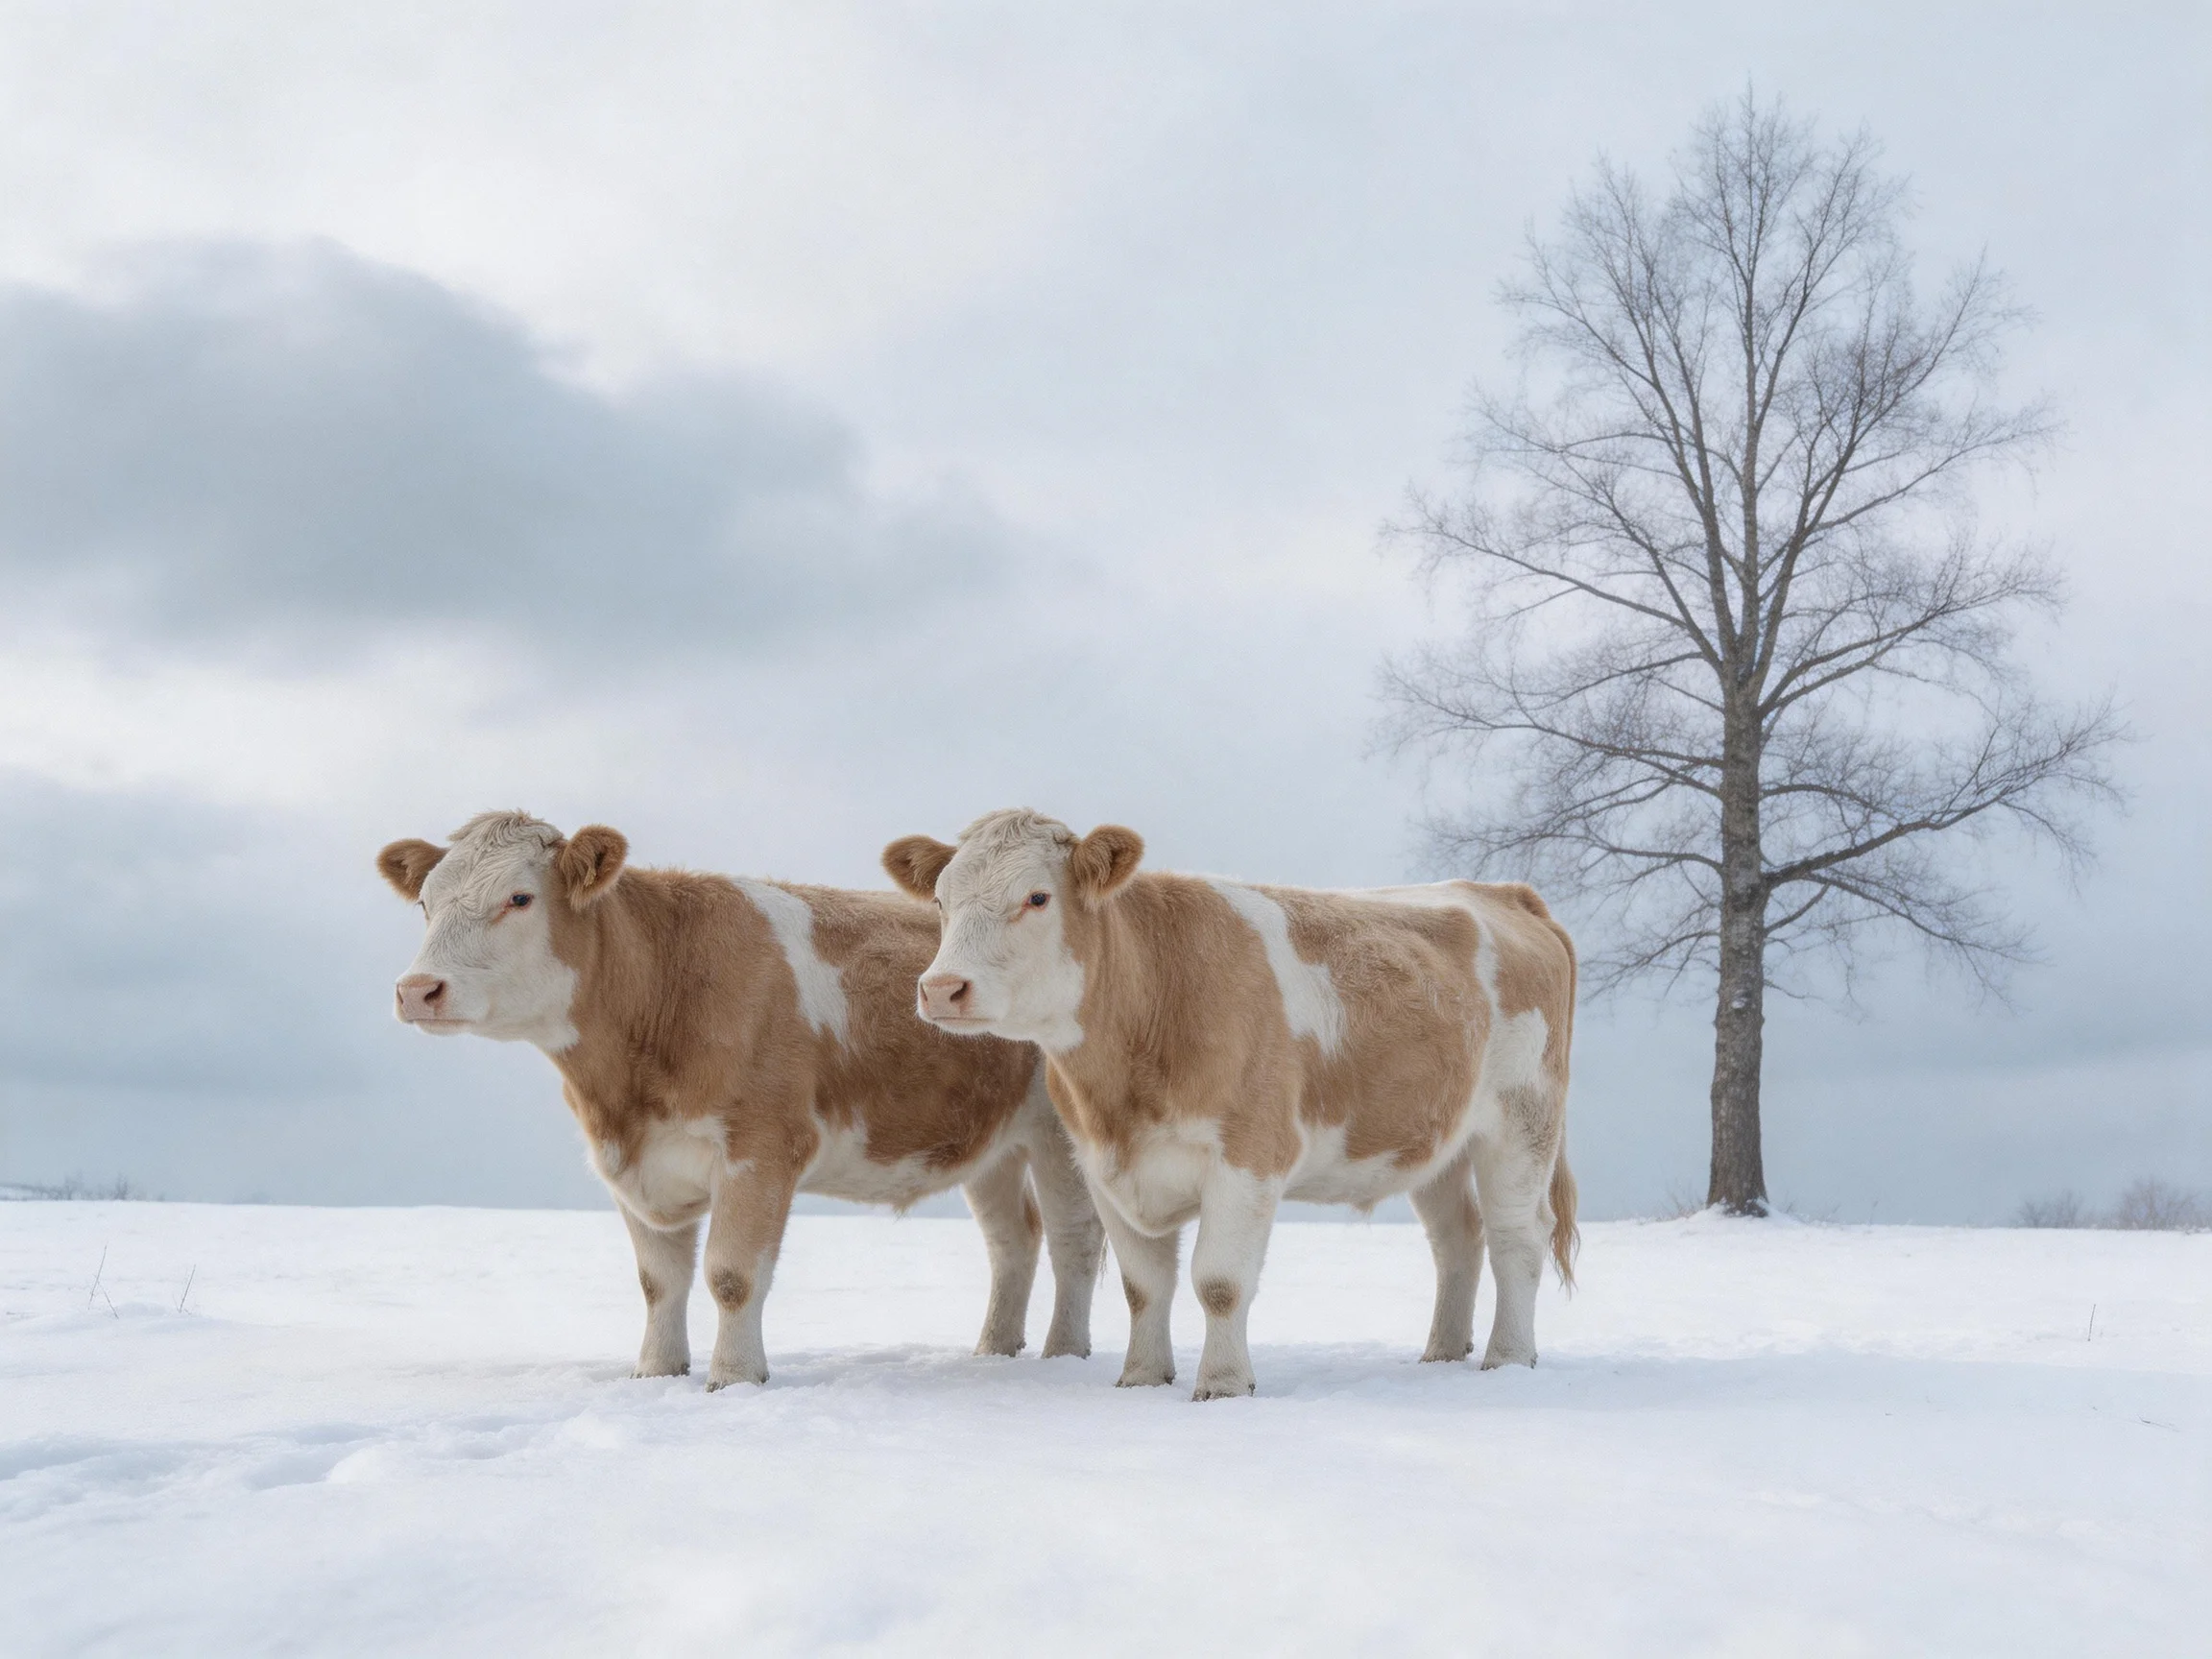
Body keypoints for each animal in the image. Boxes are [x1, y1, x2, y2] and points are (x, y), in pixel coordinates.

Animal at [378, 811, 1104, 1388]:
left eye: (521, 897)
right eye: (426, 904)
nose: (417, 989)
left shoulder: (761, 1149)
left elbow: (731, 1274)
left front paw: (734, 1379)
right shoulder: (634, 1163)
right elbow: (658, 1280)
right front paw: (654, 1373)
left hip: (1057, 1128)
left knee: (1075, 1236)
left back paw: (1063, 1355)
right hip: (991, 1141)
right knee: (1014, 1240)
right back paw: (993, 1351)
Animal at [883, 809, 1578, 1400]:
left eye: (1036, 897)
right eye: (940, 901)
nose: (942, 988)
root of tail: (1501, 893)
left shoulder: (1248, 1157)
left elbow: (1218, 1282)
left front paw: (1221, 1385)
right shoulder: (1102, 1165)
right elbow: (1143, 1286)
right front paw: (1140, 1379)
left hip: (1521, 1121)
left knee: (1517, 1236)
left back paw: (1508, 1358)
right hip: (1435, 1138)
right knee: (1457, 1238)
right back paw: (1442, 1353)